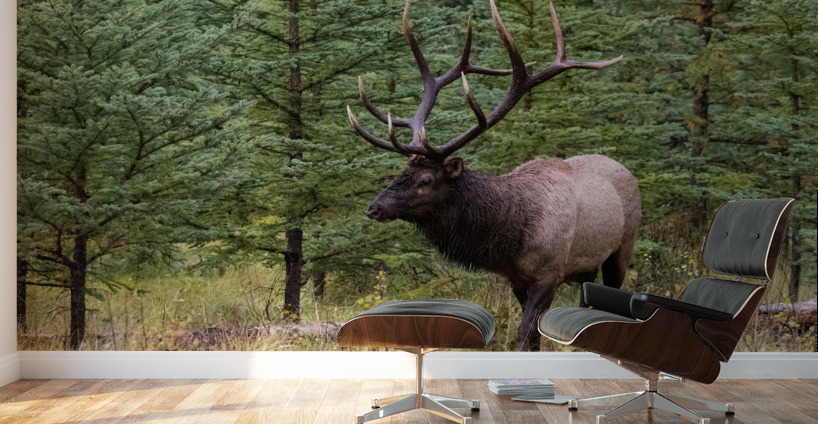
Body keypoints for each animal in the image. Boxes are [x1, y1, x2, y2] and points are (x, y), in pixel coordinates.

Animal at [346, 0, 641, 351]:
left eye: (426, 181)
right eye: (403, 172)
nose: (374, 208)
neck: (512, 236)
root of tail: (626, 170)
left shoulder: (549, 274)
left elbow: (525, 334)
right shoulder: (516, 278)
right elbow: (534, 339)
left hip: (623, 248)